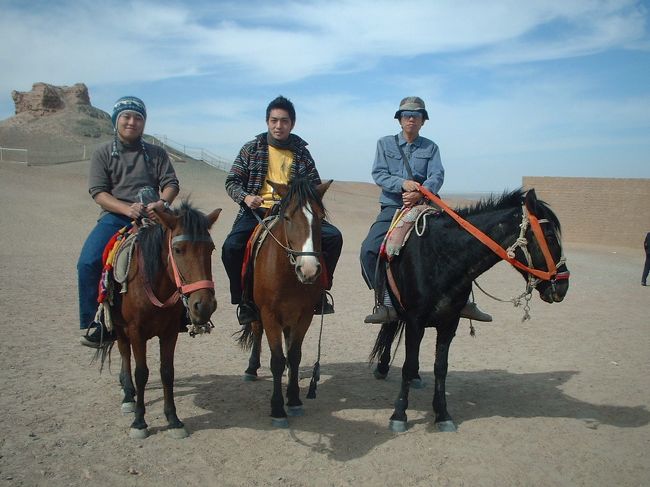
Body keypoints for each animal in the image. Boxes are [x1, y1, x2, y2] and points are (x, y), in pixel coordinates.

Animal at [107, 202, 219, 438]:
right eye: (178, 250)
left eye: (211, 249)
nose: (204, 305)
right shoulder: (136, 331)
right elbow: (141, 373)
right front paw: (139, 421)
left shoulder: (169, 333)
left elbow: (167, 372)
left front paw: (173, 419)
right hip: (120, 328)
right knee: (124, 354)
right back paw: (128, 395)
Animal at [235, 175, 332, 428]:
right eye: (287, 217)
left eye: (320, 217)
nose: (308, 270)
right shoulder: (270, 315)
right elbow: (277, 360)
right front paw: (278, 408)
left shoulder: (304, 314)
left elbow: (294, 356)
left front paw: (294, 398)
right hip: (258, 312)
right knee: (256, 330)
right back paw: (251, 368)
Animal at [370, 189, 568, 432]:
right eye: (549, 236)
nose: (563, 286)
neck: (442, 257)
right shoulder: (415, 321)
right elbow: (408, 365)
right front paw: (399, 415)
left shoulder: (449, 321)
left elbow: (440, 367)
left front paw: (442, 415)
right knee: (390, 327)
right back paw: (382, 367)